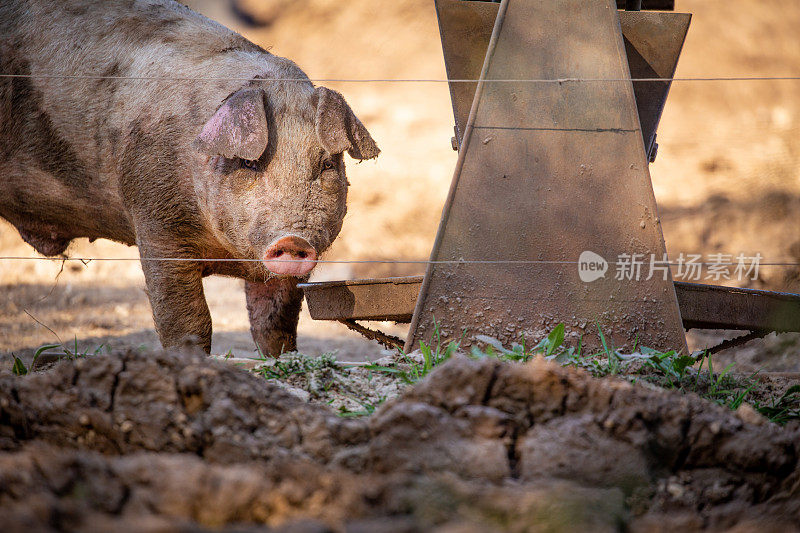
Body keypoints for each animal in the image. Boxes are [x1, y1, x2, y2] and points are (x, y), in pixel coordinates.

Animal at [0, 2, 382, 356]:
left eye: (326, 165)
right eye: (249, 163)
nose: (293, 240)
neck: (227, 256)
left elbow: (275, 321)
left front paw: (279, 362)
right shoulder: (153, 217)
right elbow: (186, 318)